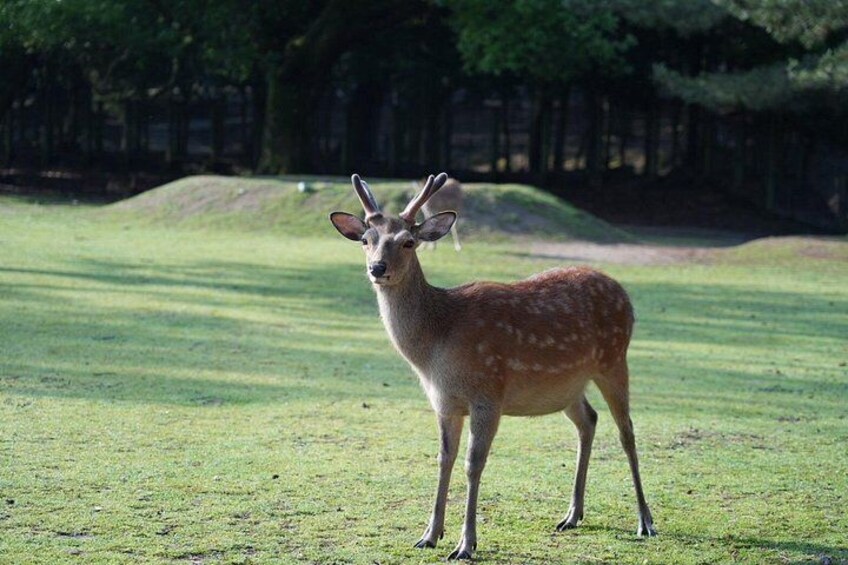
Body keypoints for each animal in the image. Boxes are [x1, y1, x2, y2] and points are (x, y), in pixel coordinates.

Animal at [329, 173, 657, 561]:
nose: (377, 268)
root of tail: (625, 294)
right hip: (568, 387)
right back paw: (572, 514)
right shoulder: (443, 403)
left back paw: (645, 520)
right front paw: (429, 535)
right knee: (589, 420)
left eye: (408, 242)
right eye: (366, 240)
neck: (436, 350)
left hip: (614, 359)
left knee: (627, 432)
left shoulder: (488, 394)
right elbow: (444, 458)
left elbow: (473, 464)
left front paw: (465, 544)